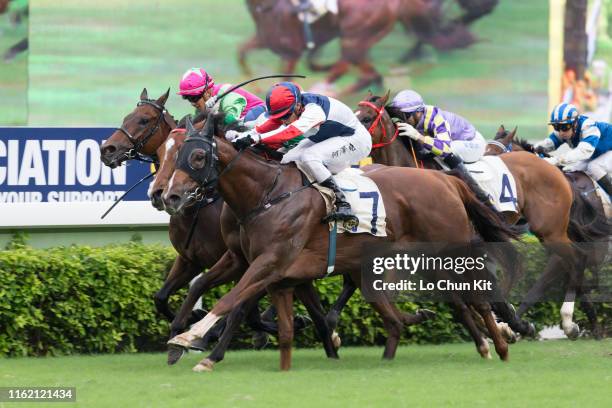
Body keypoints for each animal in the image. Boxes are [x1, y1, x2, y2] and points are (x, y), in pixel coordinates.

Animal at [163, 111, 520, 370]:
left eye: (197, 156)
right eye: (174, 154)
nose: (170, 196)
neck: (267, 194)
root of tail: (445, 180)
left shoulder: (270, 261)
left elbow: (232, 301)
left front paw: (192, 337)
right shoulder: (247, 261)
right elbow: (211, 291)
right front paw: (188, 340)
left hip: (451, 251)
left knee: (476, 298)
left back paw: (501, 342)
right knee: (449, 303)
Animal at [356, 94, 608, 340]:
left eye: (366, 118)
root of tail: (556, 170)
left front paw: (508, 324)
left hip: (549, 230)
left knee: (574, 258)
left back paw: (567, 322)